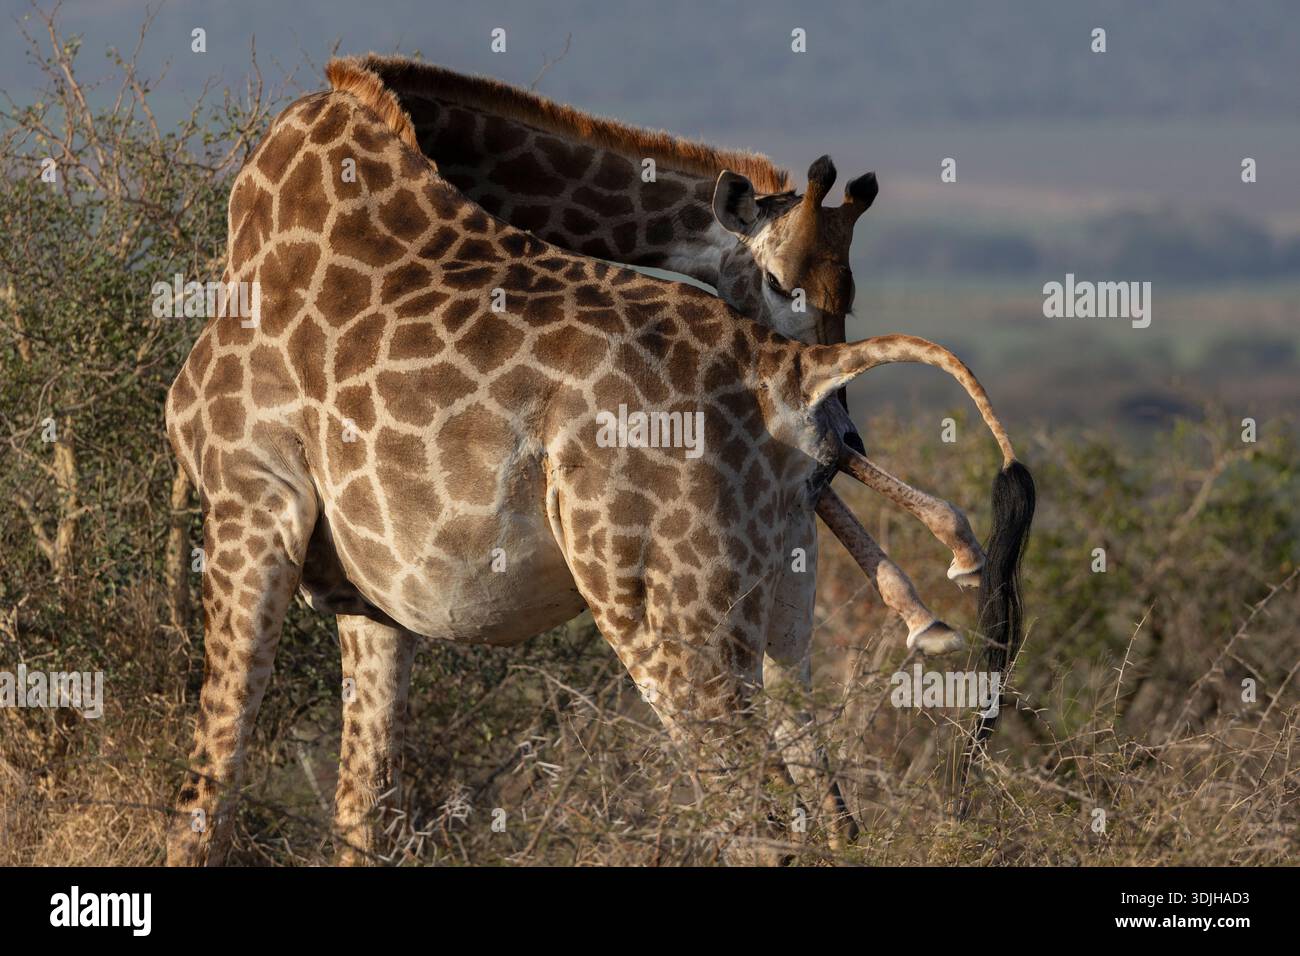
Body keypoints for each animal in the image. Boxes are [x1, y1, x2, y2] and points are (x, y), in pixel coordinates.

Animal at [164, 62, 1034, 865]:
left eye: (847, 295)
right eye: (784, 281)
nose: (844, 436)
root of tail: (787, 374)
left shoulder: (250, 498)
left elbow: (208, 789)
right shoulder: (372, 596)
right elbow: (363, 811)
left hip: (660, 604)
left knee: (753, 824)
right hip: (782, 604)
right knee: (832, 815)